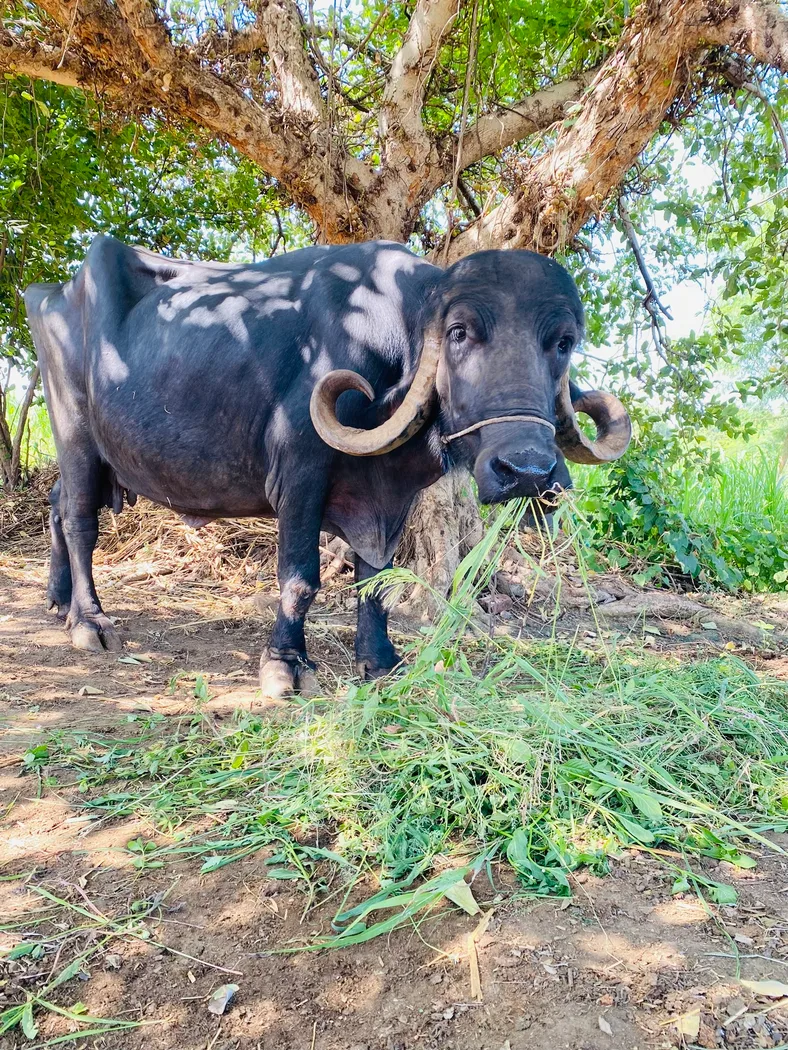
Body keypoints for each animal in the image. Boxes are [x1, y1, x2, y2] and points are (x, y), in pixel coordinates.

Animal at [25, 236, 630, 696]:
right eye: (460, 333)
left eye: (563, 342)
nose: (527, 471)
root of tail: (49, 294)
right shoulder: (298, 476)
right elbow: (300, 578)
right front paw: (285, 664)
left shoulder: (388, 499)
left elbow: (377, 580)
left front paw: (379, 659)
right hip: (74, 433)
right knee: (79, 519)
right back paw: (89, 621)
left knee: (56, 504)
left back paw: (57, 601)